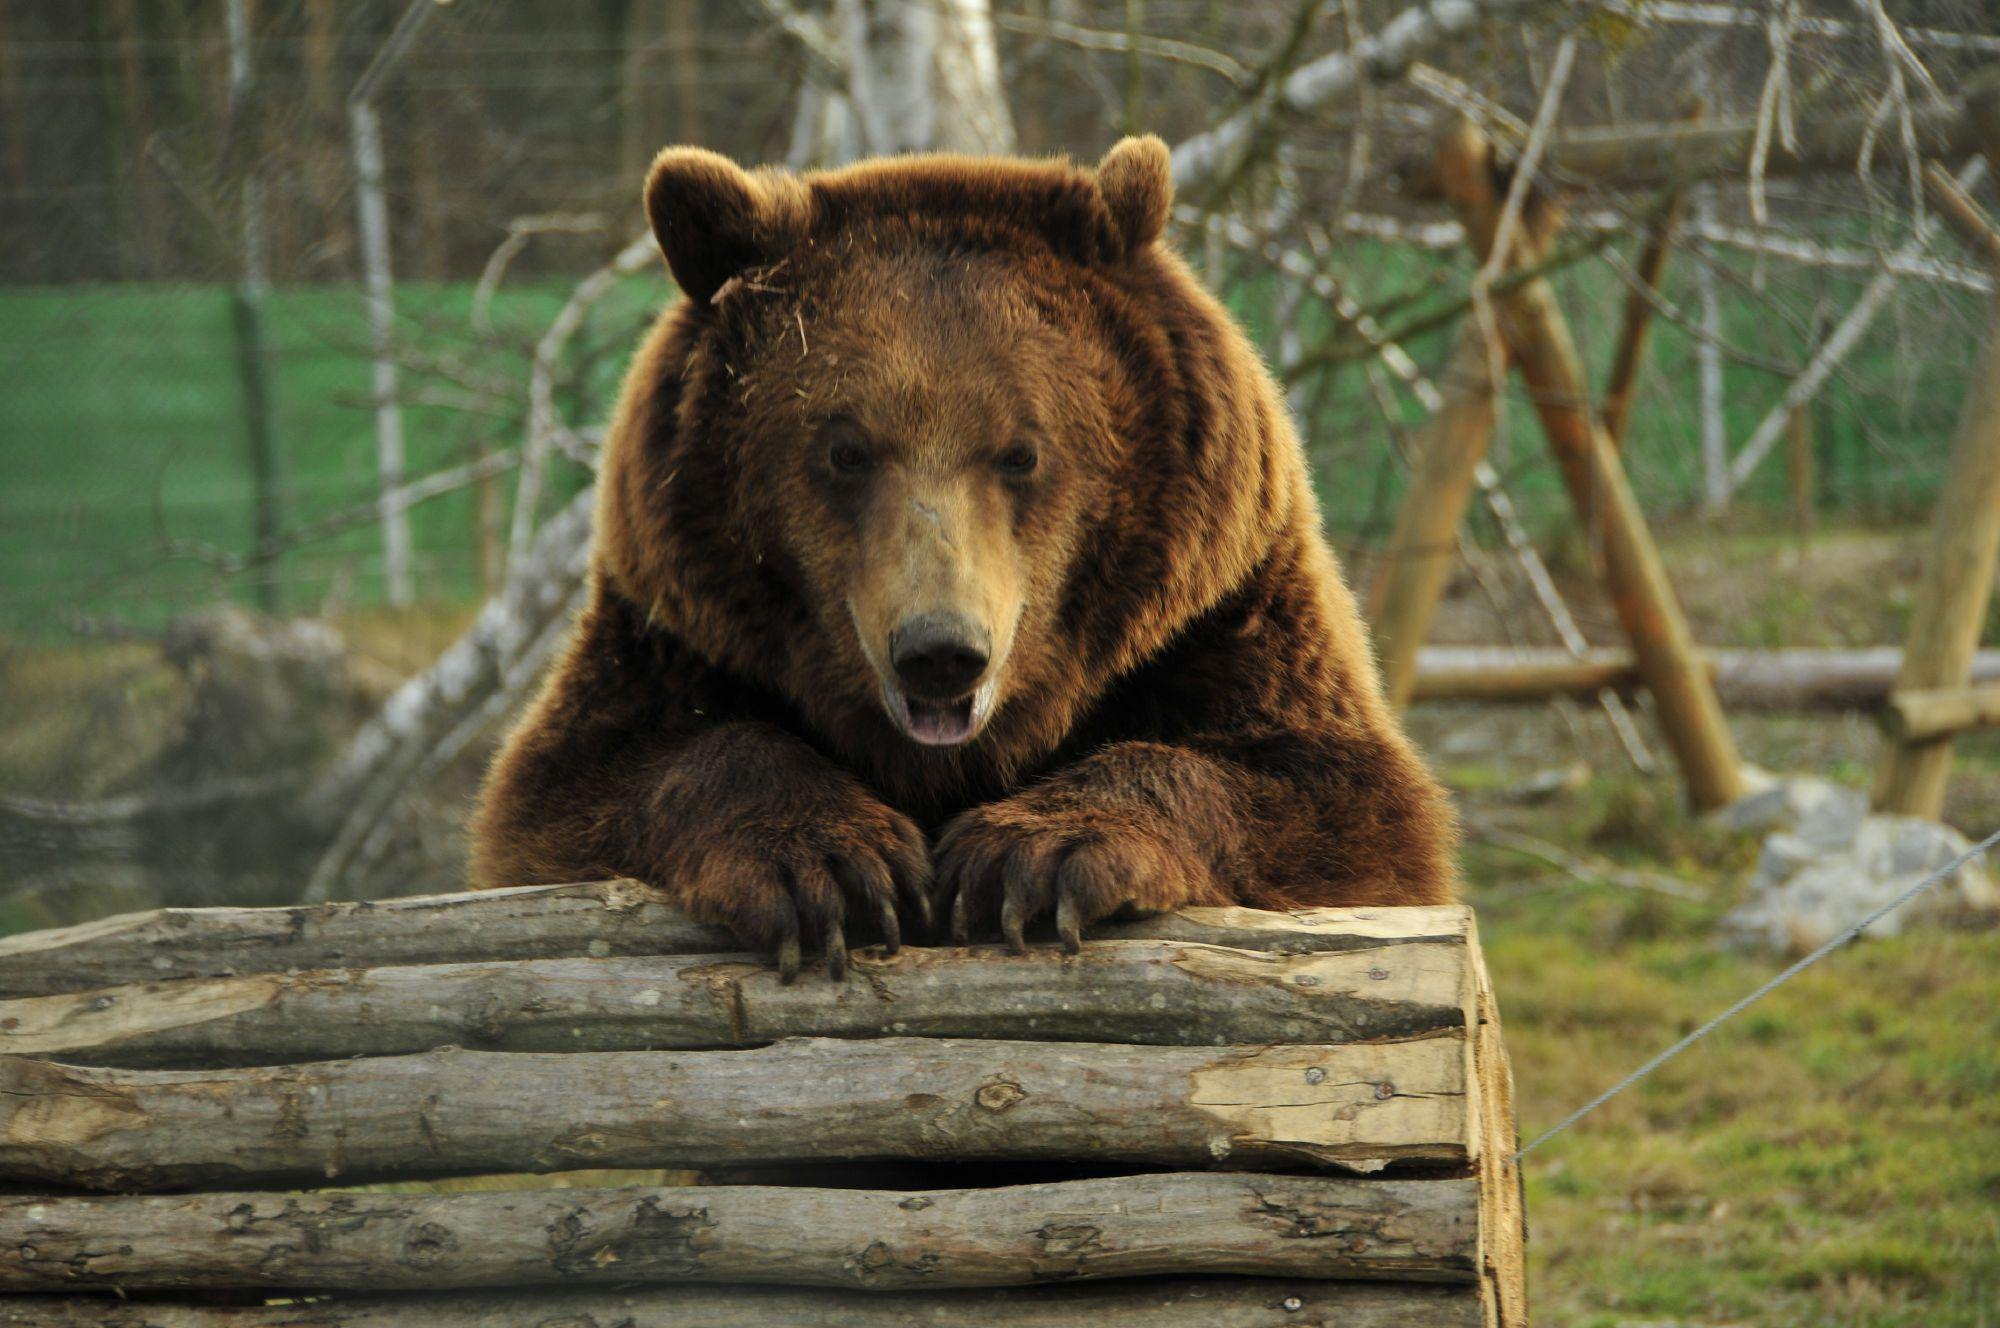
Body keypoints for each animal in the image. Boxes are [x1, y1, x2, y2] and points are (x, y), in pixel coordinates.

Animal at [469, 135, 1458, 980]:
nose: (941, 651)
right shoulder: (674, 637)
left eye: (1021, 451)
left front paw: (1026, 859)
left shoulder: (1223, 620)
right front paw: (836, 867)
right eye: (846, 448)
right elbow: (576, 793)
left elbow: (1338, 805)